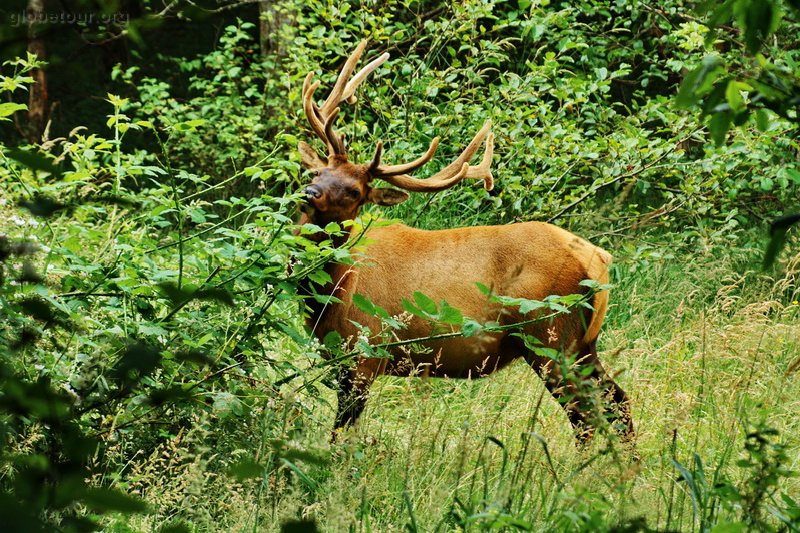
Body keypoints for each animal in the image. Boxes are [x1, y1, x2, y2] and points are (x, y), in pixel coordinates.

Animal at [296, 40, 636, 440]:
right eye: (317, 171)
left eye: (353, 191)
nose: (309, 192)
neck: (332, 292)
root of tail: (599, 260)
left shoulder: (364, 352)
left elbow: (341, 435)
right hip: (582, 344)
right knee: (619, 402)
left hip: (551, 336)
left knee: (587, 415)